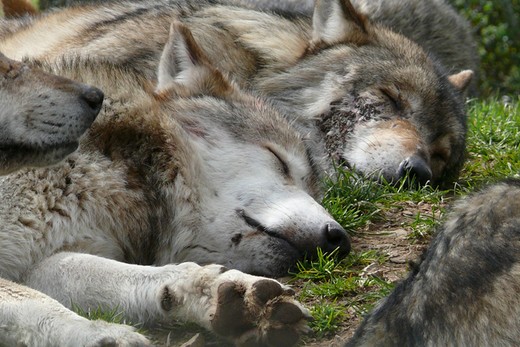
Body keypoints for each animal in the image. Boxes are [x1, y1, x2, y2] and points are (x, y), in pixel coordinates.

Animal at [0, 23, 346, 346]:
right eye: (279, 161)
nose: (339, 238)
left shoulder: (41, 261)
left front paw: (229, 297)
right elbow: (30, 298)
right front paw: (97, 334)